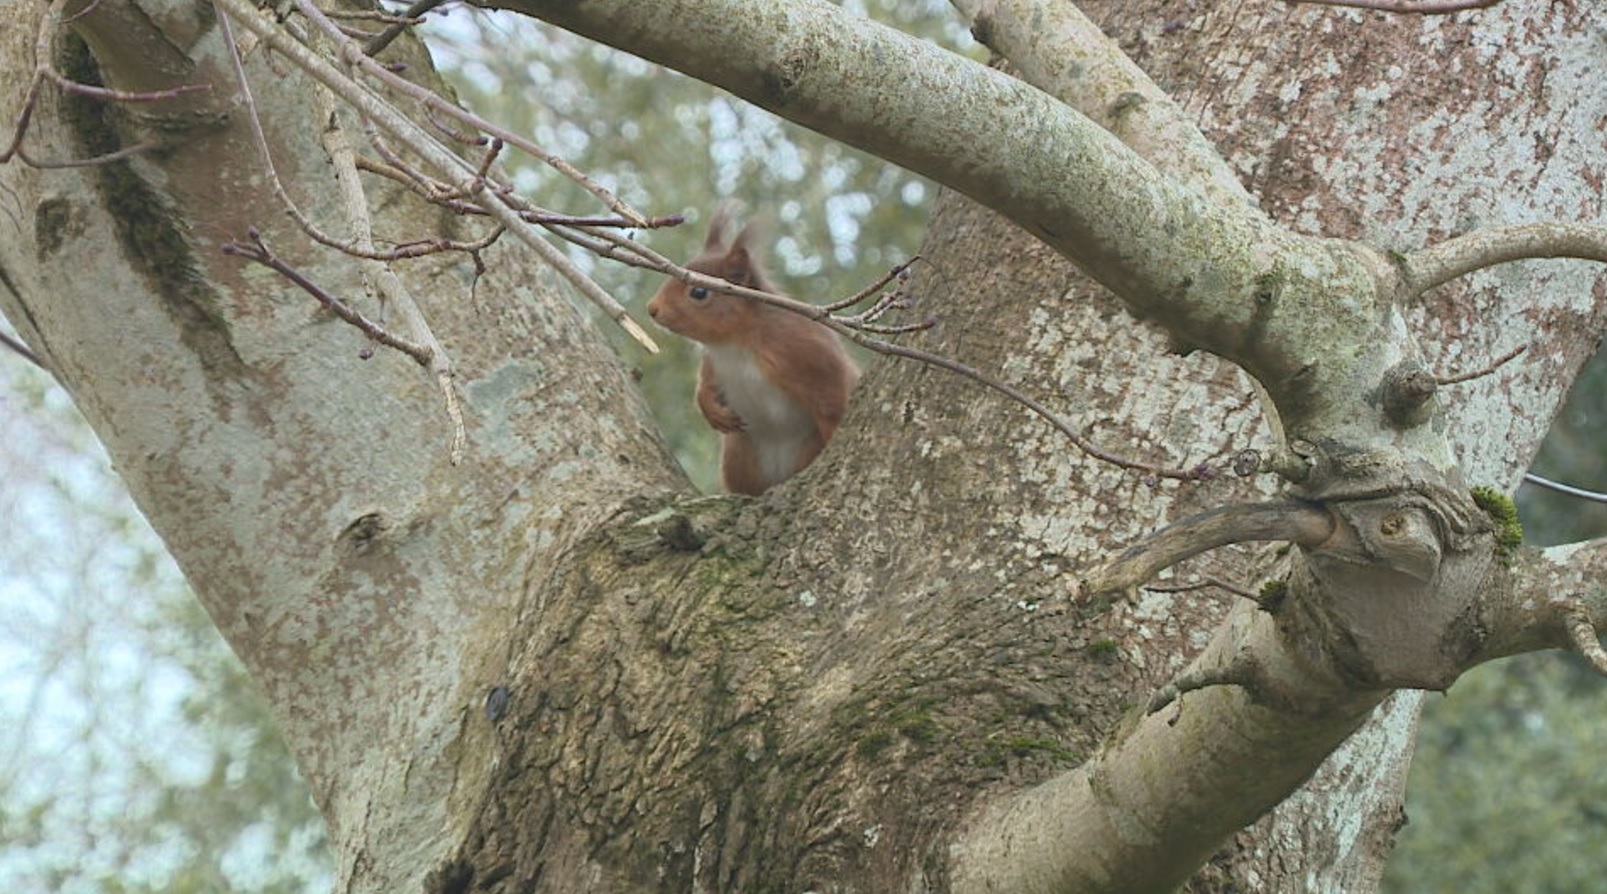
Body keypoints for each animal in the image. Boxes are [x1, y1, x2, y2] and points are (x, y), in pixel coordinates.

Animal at [646, 209, 861, 495]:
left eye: (699, 292)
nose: (652, 308)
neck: (734, 342)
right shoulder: (713, 364)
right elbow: (704, 388)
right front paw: (712, 411)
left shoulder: (804, 350)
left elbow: (832, 398)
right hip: (739, 456)